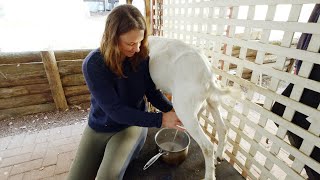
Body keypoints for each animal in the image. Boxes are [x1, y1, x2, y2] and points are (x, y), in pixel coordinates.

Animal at [149, 35, 236, 179]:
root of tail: (208, 74)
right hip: (212, 101)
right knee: (222, 128)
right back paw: (219, 156)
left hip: (185, 111)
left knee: (207, 146)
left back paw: (209, 176)